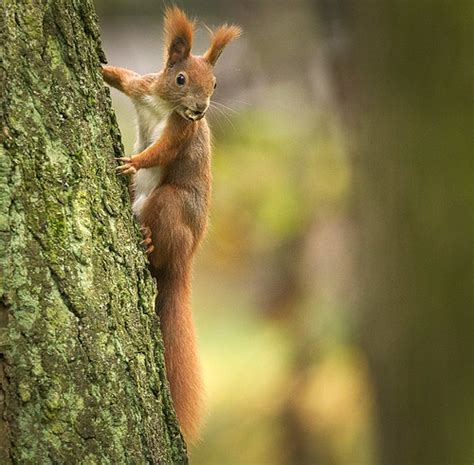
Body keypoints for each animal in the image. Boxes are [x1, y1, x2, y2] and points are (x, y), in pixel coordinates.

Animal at [101, 7, 241, 442]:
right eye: (180, 79)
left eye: (215, 83)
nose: (200, 108)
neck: (164, 107)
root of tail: (184, 263)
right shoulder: (143, 88)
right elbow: (124, 77)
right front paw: (103, 69)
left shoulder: (182, 133)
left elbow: (160, 152)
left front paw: (134, 162)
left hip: (170, 202)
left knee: (160, 246)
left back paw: (147, 240)